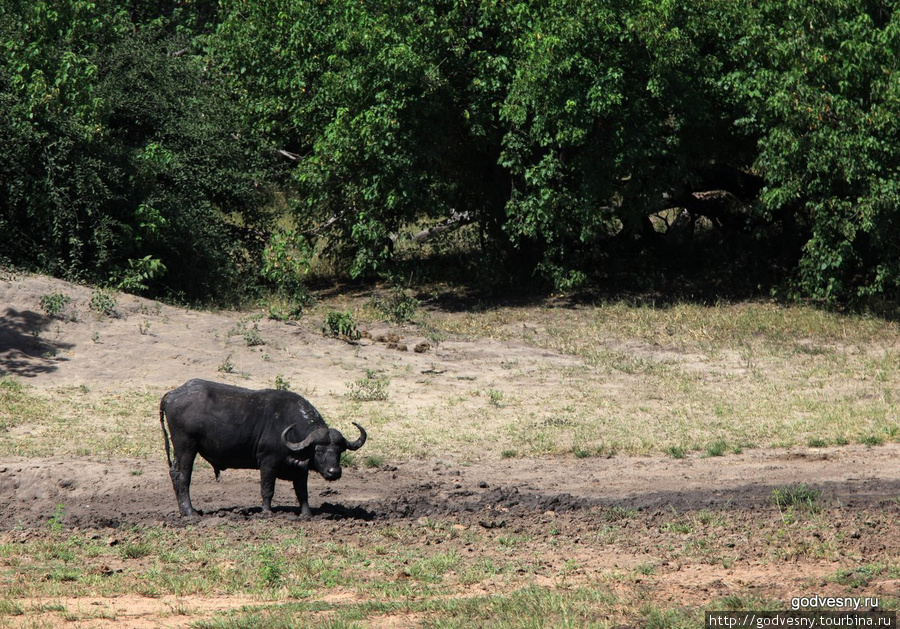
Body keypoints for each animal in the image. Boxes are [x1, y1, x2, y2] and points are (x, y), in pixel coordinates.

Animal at [159, 378, 366, 516]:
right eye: (319, 450)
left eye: (340, 451)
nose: (334, 472)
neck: (288, 429)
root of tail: (172, 394)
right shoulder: (268, 462)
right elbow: (267, 489)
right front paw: (267, 512)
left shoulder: (301, 469)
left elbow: (302, 492)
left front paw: (306, 514)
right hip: (186, 446)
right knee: (182, 476)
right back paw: (190, 512)